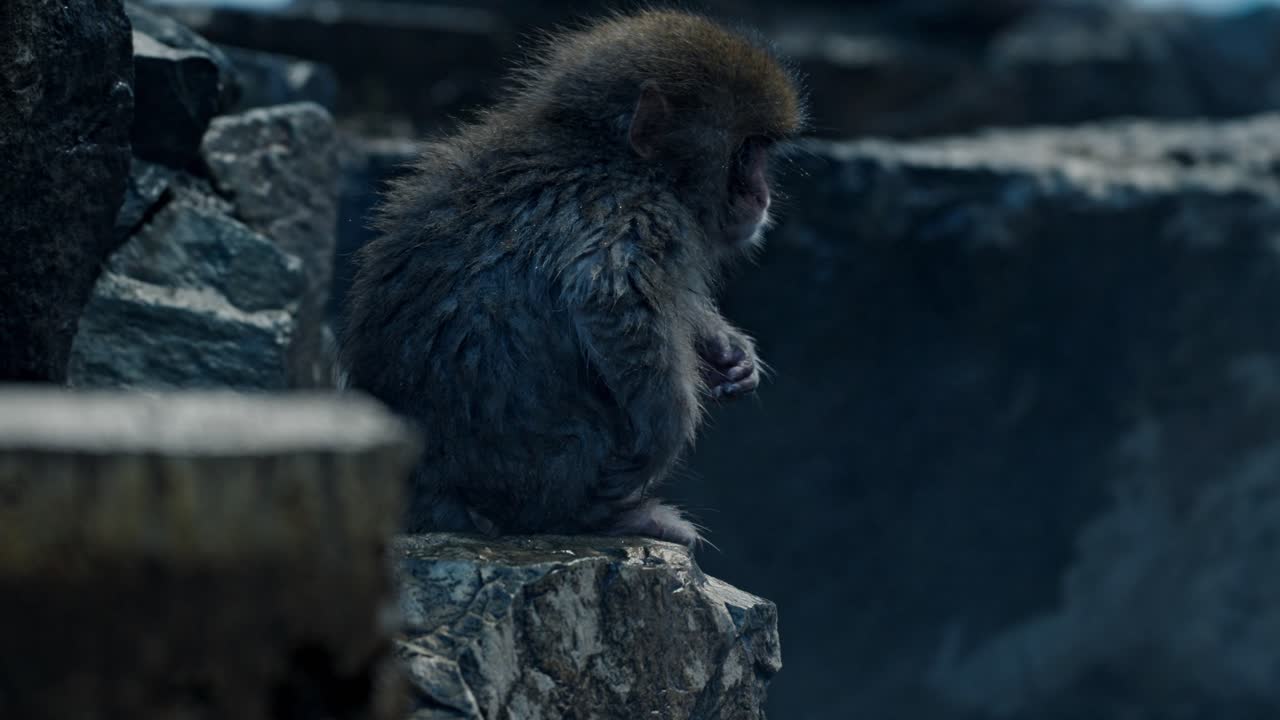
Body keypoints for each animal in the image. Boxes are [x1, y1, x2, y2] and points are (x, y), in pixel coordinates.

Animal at [339, 9, 806, 548]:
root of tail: (426, 490)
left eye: (760, 152)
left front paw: (728, 351)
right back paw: (601, 518)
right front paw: (666, 436)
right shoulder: (636, 213)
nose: (761, 195)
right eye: (746, 152)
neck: (609, 152)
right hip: (540, 468)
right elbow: (611, 298)